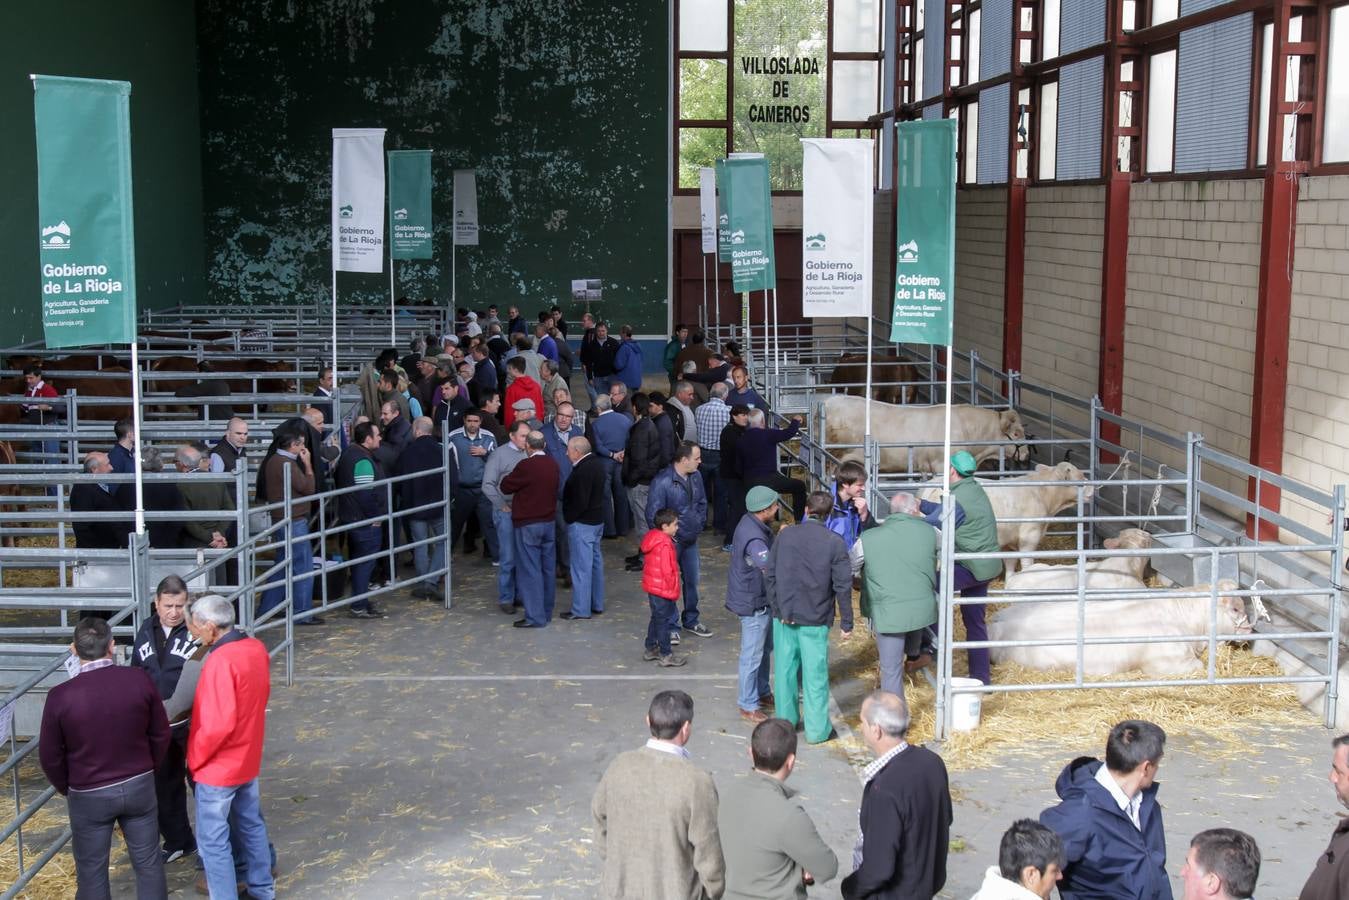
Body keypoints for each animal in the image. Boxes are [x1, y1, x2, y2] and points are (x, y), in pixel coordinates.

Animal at [917, 464, 1095, 569]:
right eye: (1080, 478)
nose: (1094, 488)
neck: (1042, 493)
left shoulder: (1008, 542)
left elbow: (1010, 564)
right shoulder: (1029, 537)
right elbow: (1027, 564)